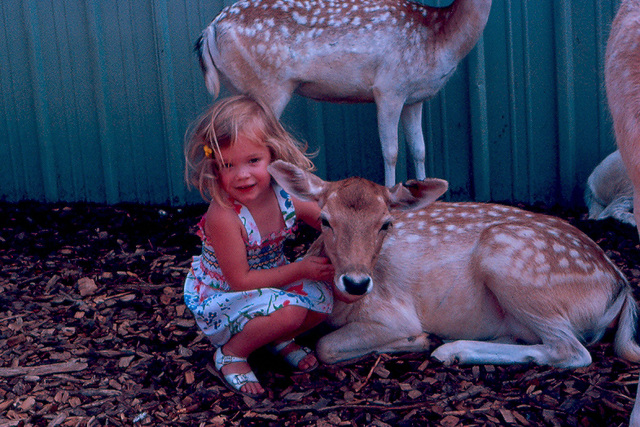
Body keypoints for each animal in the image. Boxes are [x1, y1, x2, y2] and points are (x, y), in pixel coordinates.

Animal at [196, 0, 490, 187]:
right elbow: (391, 151)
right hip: (268, 84)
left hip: (240, 86)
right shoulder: (389, 86)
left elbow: (419, 148)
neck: (439, 37)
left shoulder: (414, 97)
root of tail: (210, 29)